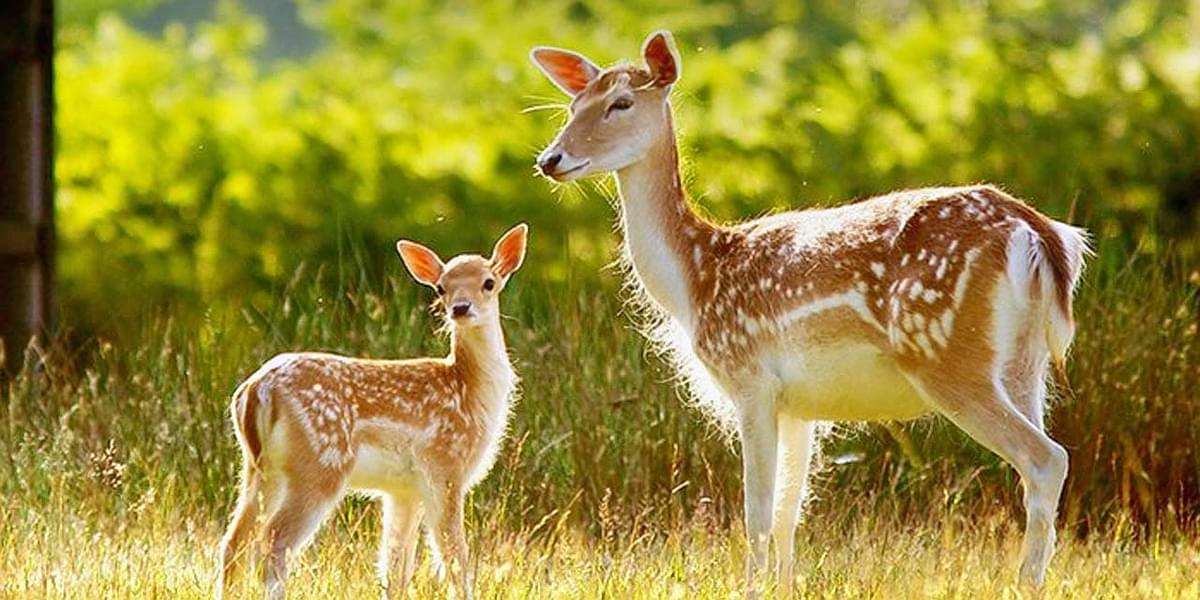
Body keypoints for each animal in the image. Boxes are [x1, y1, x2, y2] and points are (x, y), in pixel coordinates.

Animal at [216, 224, 529, 600]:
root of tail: (256, 391)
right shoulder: (445, 468)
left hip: (259, 469)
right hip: (320, 464)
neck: (469, 390)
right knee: (274, 541)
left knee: (234, 542)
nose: (460, 307)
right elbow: (455, 559)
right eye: (441, 287)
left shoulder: (404, 489)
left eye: (488, 282)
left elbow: (395, 567)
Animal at [530, 31, 1090, 595]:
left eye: (621, 103)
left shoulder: (750, 378)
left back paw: (1025, 583)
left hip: (946, 353)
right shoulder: (799, 405)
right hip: (1025, 364)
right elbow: (787, 515)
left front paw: (749, 589)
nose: (550, 159)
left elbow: (756, 513)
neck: (697, 280)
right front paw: (784, 587)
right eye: (574, 105)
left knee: (1046, 458)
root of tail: (1038, 234)